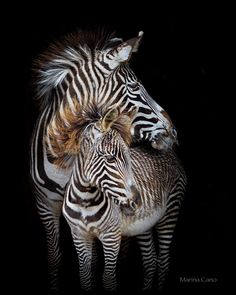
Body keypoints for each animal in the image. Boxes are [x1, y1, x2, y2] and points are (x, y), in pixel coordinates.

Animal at [30, 28, 179, 292]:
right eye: (134, 87)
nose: (173, 132)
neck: (61, 160)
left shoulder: (109, 211)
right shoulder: (45, 205)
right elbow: (55, 257)